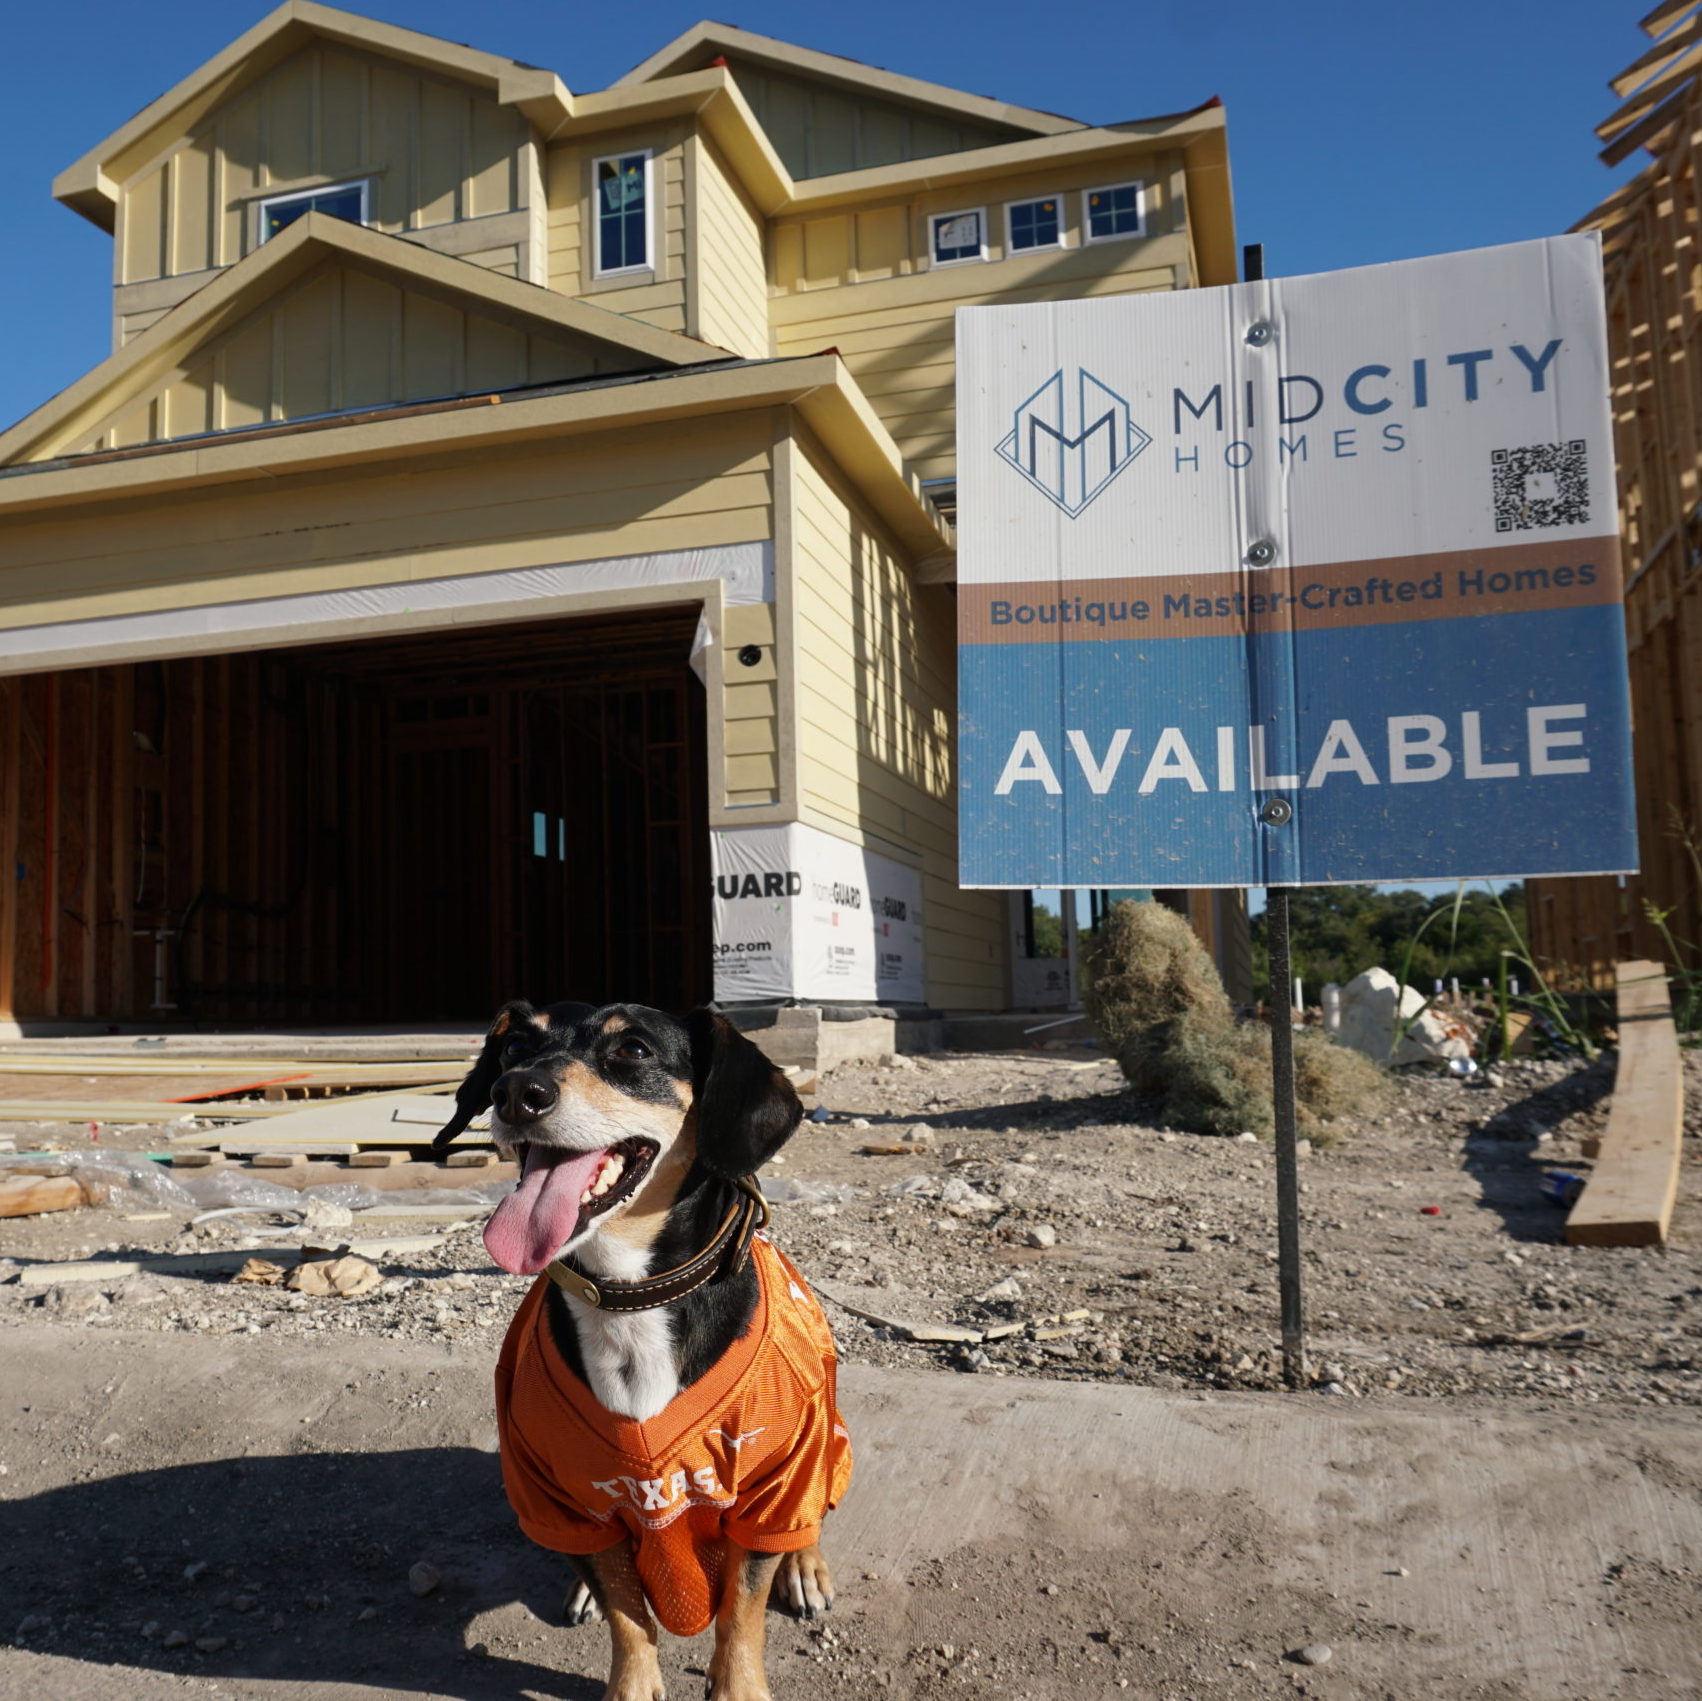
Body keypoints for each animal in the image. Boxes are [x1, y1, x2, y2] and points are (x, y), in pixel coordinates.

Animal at [435, 999, 851, 1701]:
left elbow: (742, 1607)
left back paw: (805, 1565)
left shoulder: (774, 1477)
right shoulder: (568, 1494)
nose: (515, 1091)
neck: (628, 1297)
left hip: (822, 1445)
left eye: (633, 1050)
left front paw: (739, 1686)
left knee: (807, 1515)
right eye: (515, 1045)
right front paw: (630, 1681)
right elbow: (627, 1610)